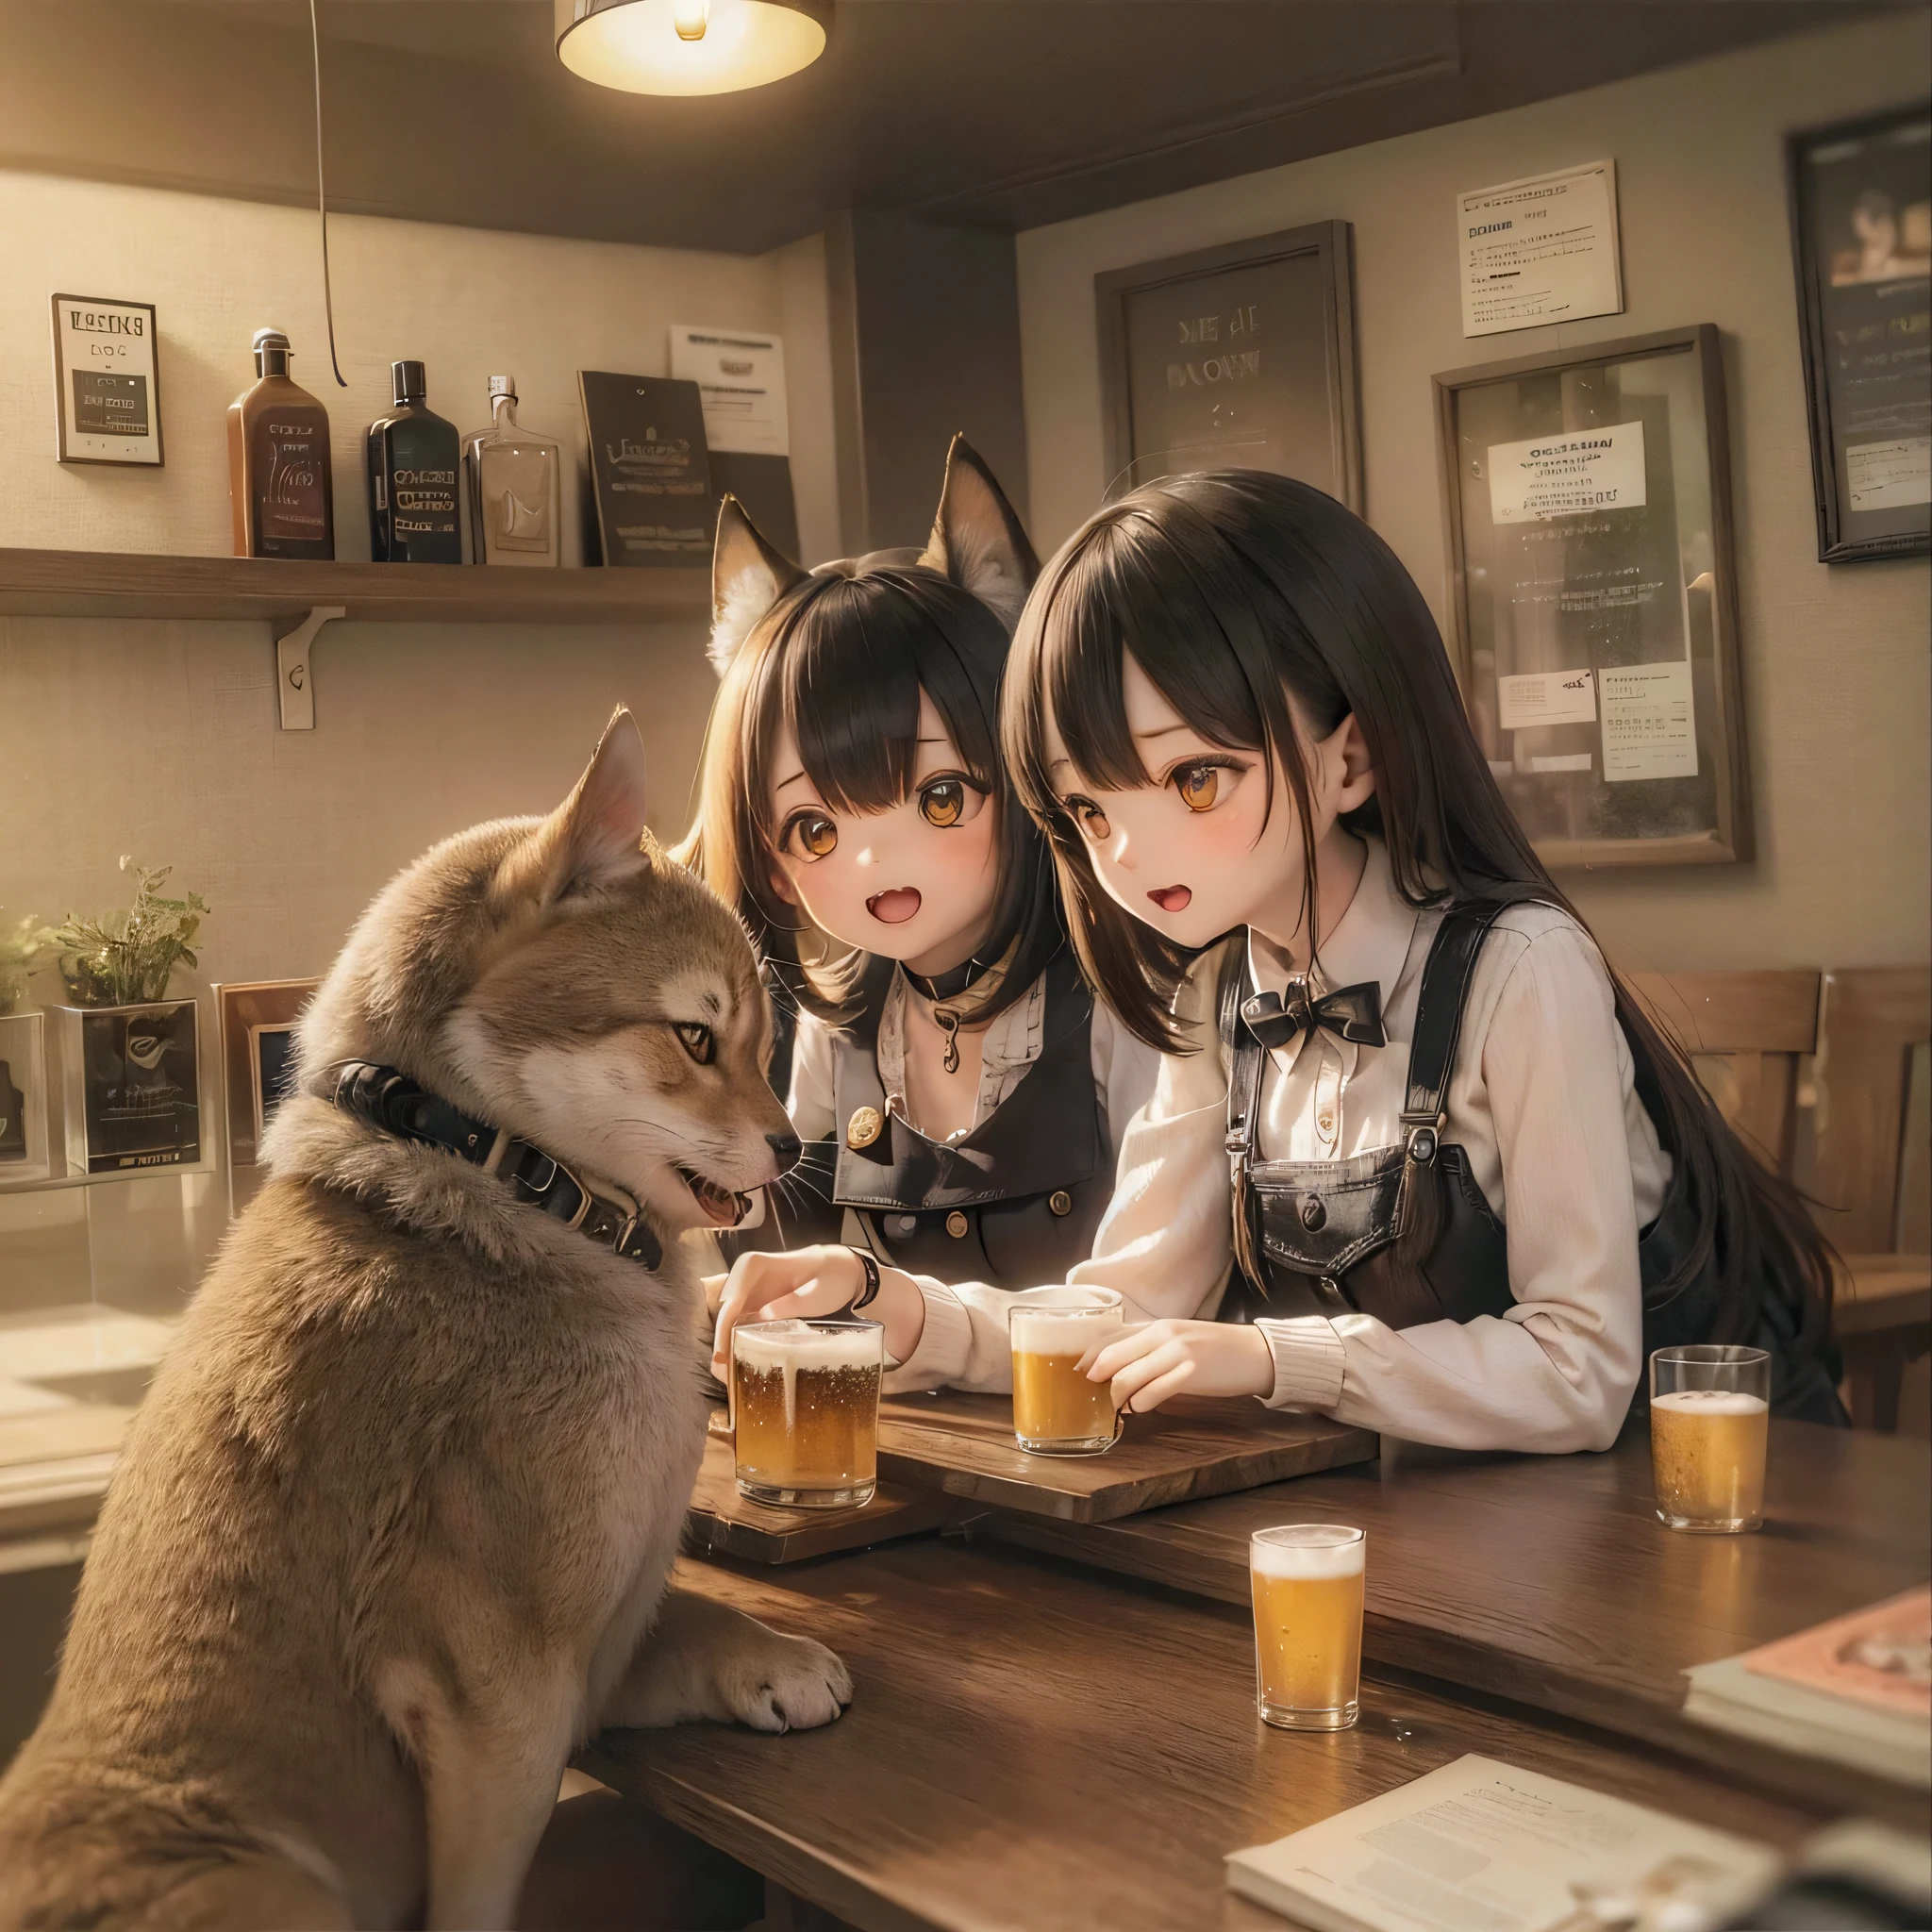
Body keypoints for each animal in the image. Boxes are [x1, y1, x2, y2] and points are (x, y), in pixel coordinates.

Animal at [0, 718, 846, 1924]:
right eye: (695, 1036)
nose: (790, 1147)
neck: (502, 1183)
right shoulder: (504, 1700)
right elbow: (478, 1903)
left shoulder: (589, 1659)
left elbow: (687, 1612)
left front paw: (770, 1656)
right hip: (282, 1890)